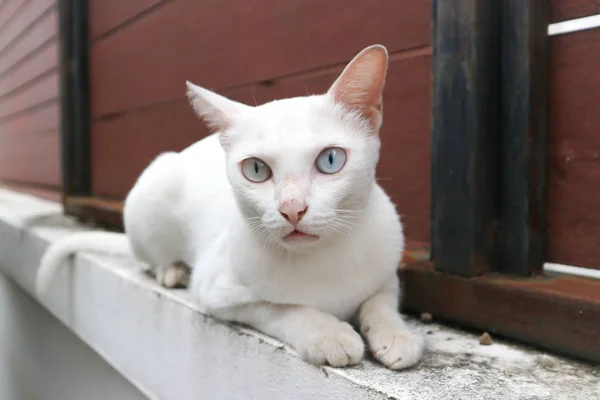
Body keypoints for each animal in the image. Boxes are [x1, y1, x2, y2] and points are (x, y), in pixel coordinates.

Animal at [35, 45, 424, 370]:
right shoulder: (217, 290)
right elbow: (281, 307)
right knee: (152, 257)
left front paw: (397, 334)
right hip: (154, 188)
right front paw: (329, 333)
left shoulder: (386, 273)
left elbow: (381, 300)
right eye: (256, 170)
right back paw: (171, 270)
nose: (292, 209)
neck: (323, 259)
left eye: (330, 160)